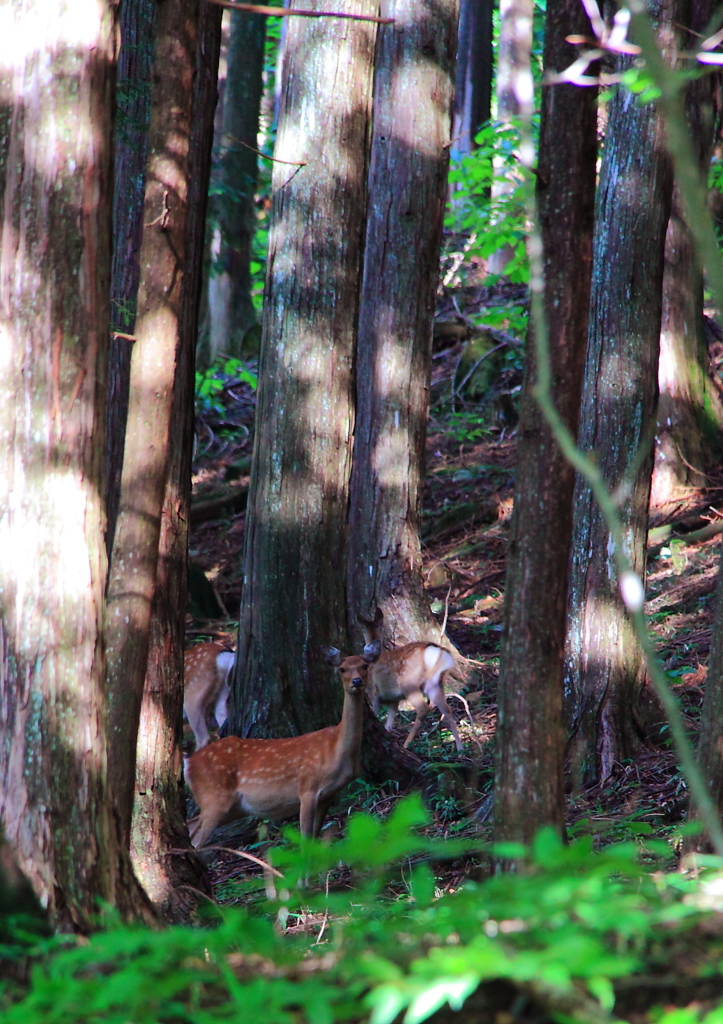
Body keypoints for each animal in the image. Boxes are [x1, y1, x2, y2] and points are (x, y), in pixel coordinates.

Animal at [183, 647, 376, 847]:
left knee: (191, 826)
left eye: (365, 665)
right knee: (196, 839)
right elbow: (305, 838)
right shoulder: (307, 788)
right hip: (214, 796)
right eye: (342, 669)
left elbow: (314, 838)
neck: (337, 748)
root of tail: (188, 764)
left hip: (233, 808)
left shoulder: (327, 795)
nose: (357, 681)